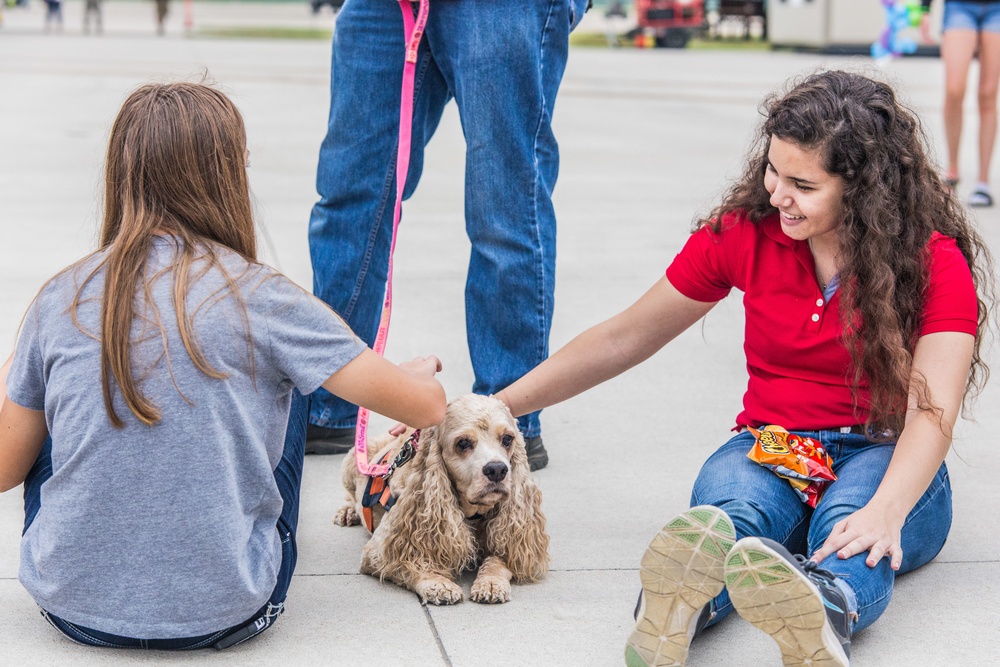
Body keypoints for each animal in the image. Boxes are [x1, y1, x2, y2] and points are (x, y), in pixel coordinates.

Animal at [336, 394, 548, 608]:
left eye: (507, 439)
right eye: (463, 443)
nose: (497, 469)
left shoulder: (512, 542)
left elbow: (499, 561)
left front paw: (490, 583)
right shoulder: (381, 551)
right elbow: (411, 564)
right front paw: (438, 584)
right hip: (352, 459)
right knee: (350, 495)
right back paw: (348, 512)